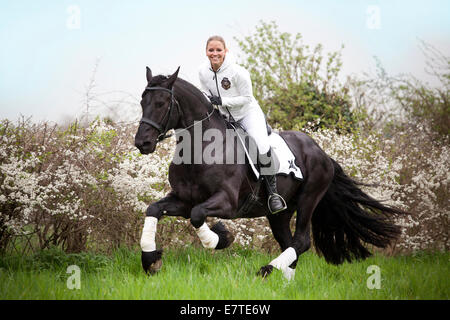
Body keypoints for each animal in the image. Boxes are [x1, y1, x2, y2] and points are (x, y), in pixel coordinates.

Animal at [134, 68, 404, 280]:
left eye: (161, 103)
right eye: (142, 102)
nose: (142, 143)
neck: (201, 148)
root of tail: (321, 152)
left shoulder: (227, 202)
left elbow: (198, 215)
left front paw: (222, 237)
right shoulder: (183, 199)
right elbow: (154, 209)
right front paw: (150, 260)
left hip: (309, 198)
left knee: (301, 241)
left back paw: (266, 270)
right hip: (279, 213)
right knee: (288, 242)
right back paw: (284, 279)